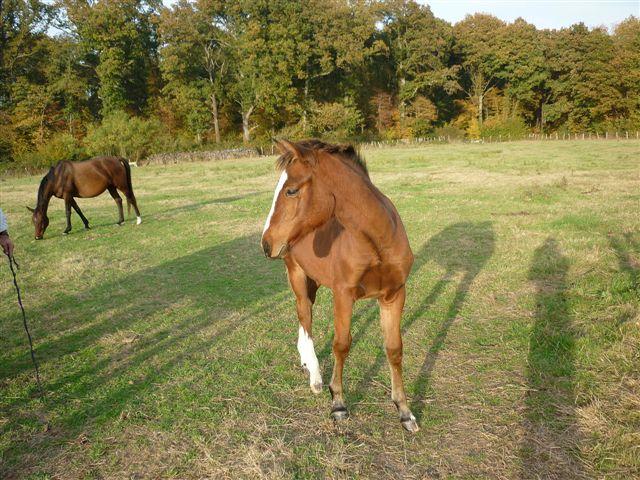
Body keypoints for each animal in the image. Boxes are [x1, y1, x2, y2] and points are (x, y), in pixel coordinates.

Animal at [262, 139, 420, 432]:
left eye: (291, 190)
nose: (266, 243)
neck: (377, 242)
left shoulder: (394, 294)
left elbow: (394, 349)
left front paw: (405, 412)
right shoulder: (343, 294)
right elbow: (341, 345)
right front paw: (338, 403)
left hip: (312, 280)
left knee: (304, 315)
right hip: (296, 274)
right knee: (305, 314)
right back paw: (315, 377)